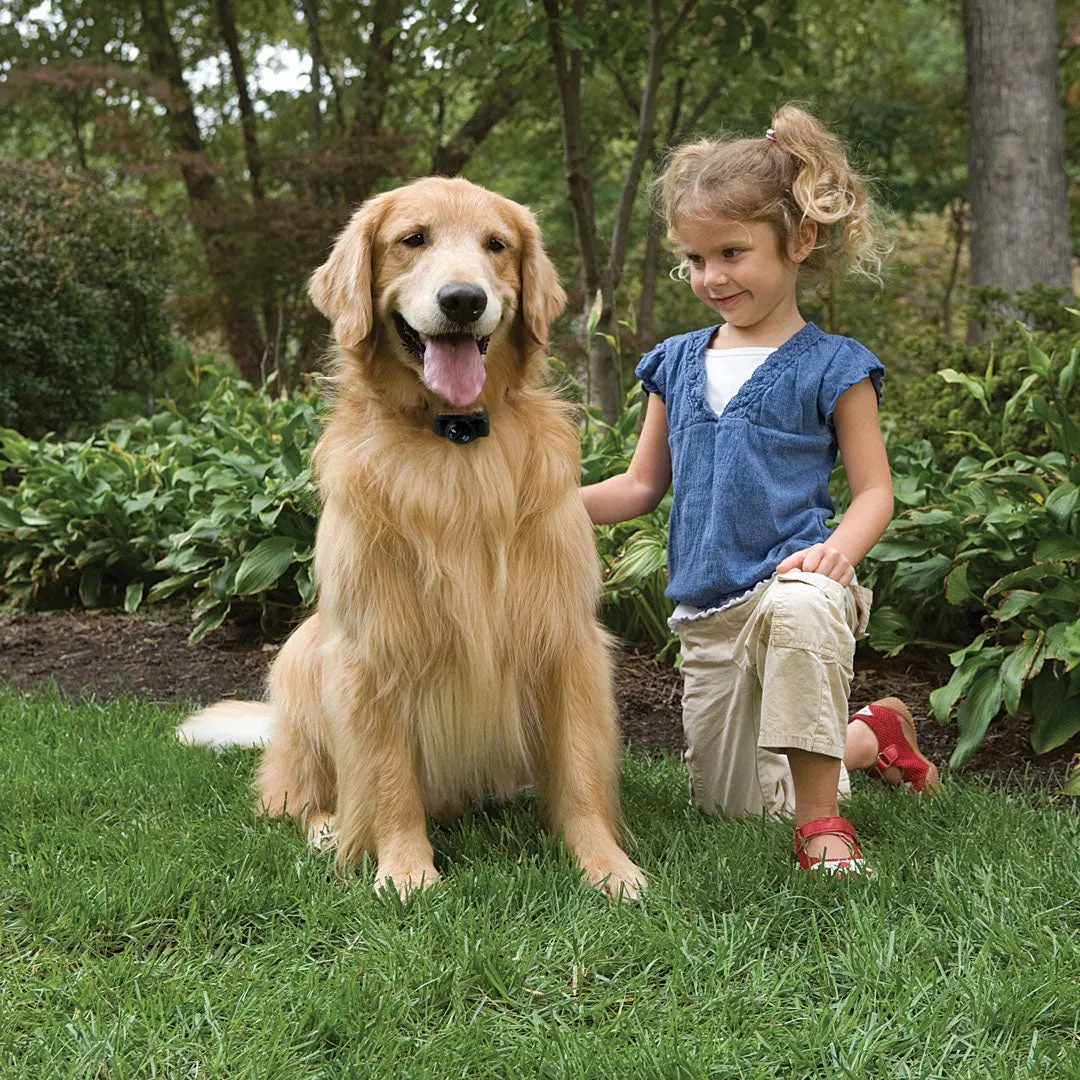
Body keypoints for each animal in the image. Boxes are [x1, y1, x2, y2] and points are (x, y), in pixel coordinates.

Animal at [180, 179, 643, 902]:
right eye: (412, 239)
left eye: (496, 245)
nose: (464, 300)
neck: (455, 442)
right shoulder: (372, 646)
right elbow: (389, 778)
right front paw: (404, 870)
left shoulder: (564, 636)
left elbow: (580, 773)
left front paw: (605, 865)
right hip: (303, 655)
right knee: (294, 797)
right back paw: (329, 828)